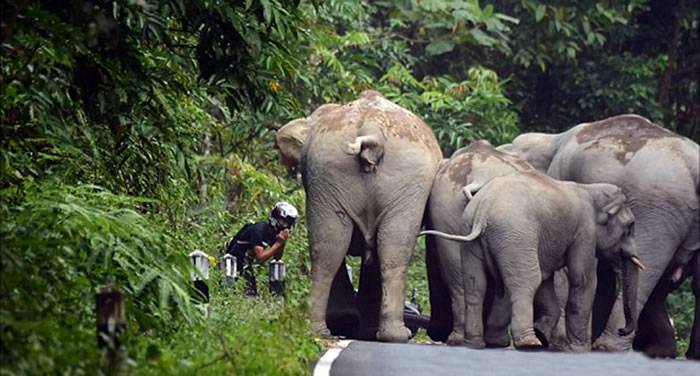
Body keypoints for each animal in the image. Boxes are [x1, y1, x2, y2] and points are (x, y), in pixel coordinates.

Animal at [422, 172, 644, 352]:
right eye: (630, 226)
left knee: (476, 285)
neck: (590, 189)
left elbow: (547, 280)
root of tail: (483, 209)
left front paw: (545, 332)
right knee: (526, 281)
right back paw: (529, 343)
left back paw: (476, 344)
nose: (622, 330)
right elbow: (582, 280)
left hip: (471, 236)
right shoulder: (584, 233)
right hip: (515, 235)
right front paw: (578, 349)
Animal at [424, 140, 532, 346]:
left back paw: (460, 338)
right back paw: (495, 341)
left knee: (455, 269)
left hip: (445, 204)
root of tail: (479, 176)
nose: (434, 332)